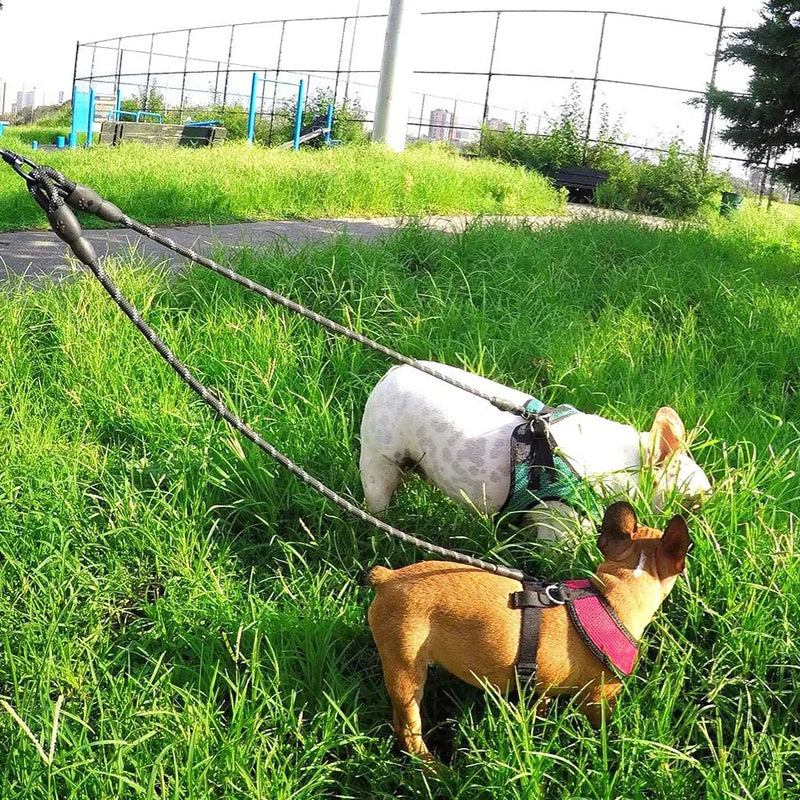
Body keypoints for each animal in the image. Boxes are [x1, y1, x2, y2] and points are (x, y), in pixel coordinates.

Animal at [360, 360, 708, 536]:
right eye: (694, 498)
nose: (710, 500)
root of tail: (391, 372)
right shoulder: (561, 523)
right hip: (378, 458)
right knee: (379, 494)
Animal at [362, 504, 688, 760]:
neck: (613, 591)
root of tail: (388, 578)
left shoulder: (543, 684)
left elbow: (540, 705)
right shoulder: (601, 694)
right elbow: (601, 725)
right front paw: (607, 745)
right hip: (405, 667)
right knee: (410, 729)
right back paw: (434, 768)